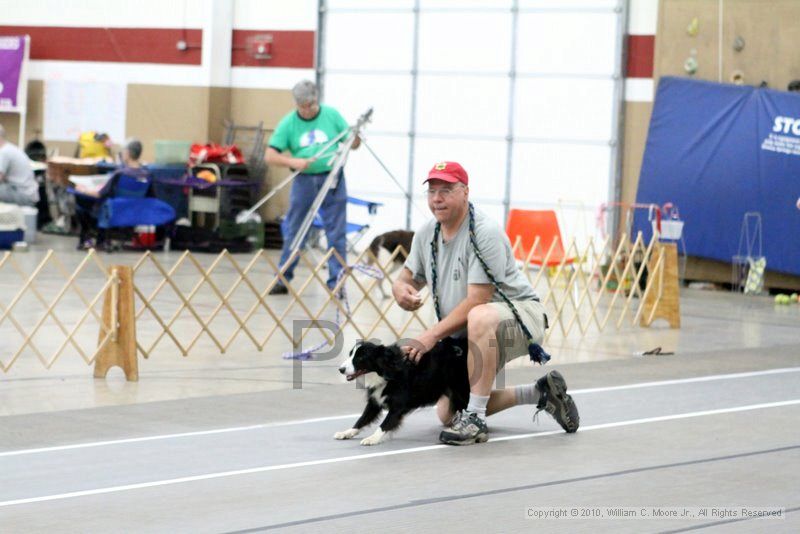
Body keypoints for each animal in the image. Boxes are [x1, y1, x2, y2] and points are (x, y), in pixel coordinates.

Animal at [336, 340, 468, 448]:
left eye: (361, 357)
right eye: (350, 354)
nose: (340, 370)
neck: (386, 372)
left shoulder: (397, 406)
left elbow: (384, 424)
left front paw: (372, 438)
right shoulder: (374, 402)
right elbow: (362, 419)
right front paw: (346, 432)